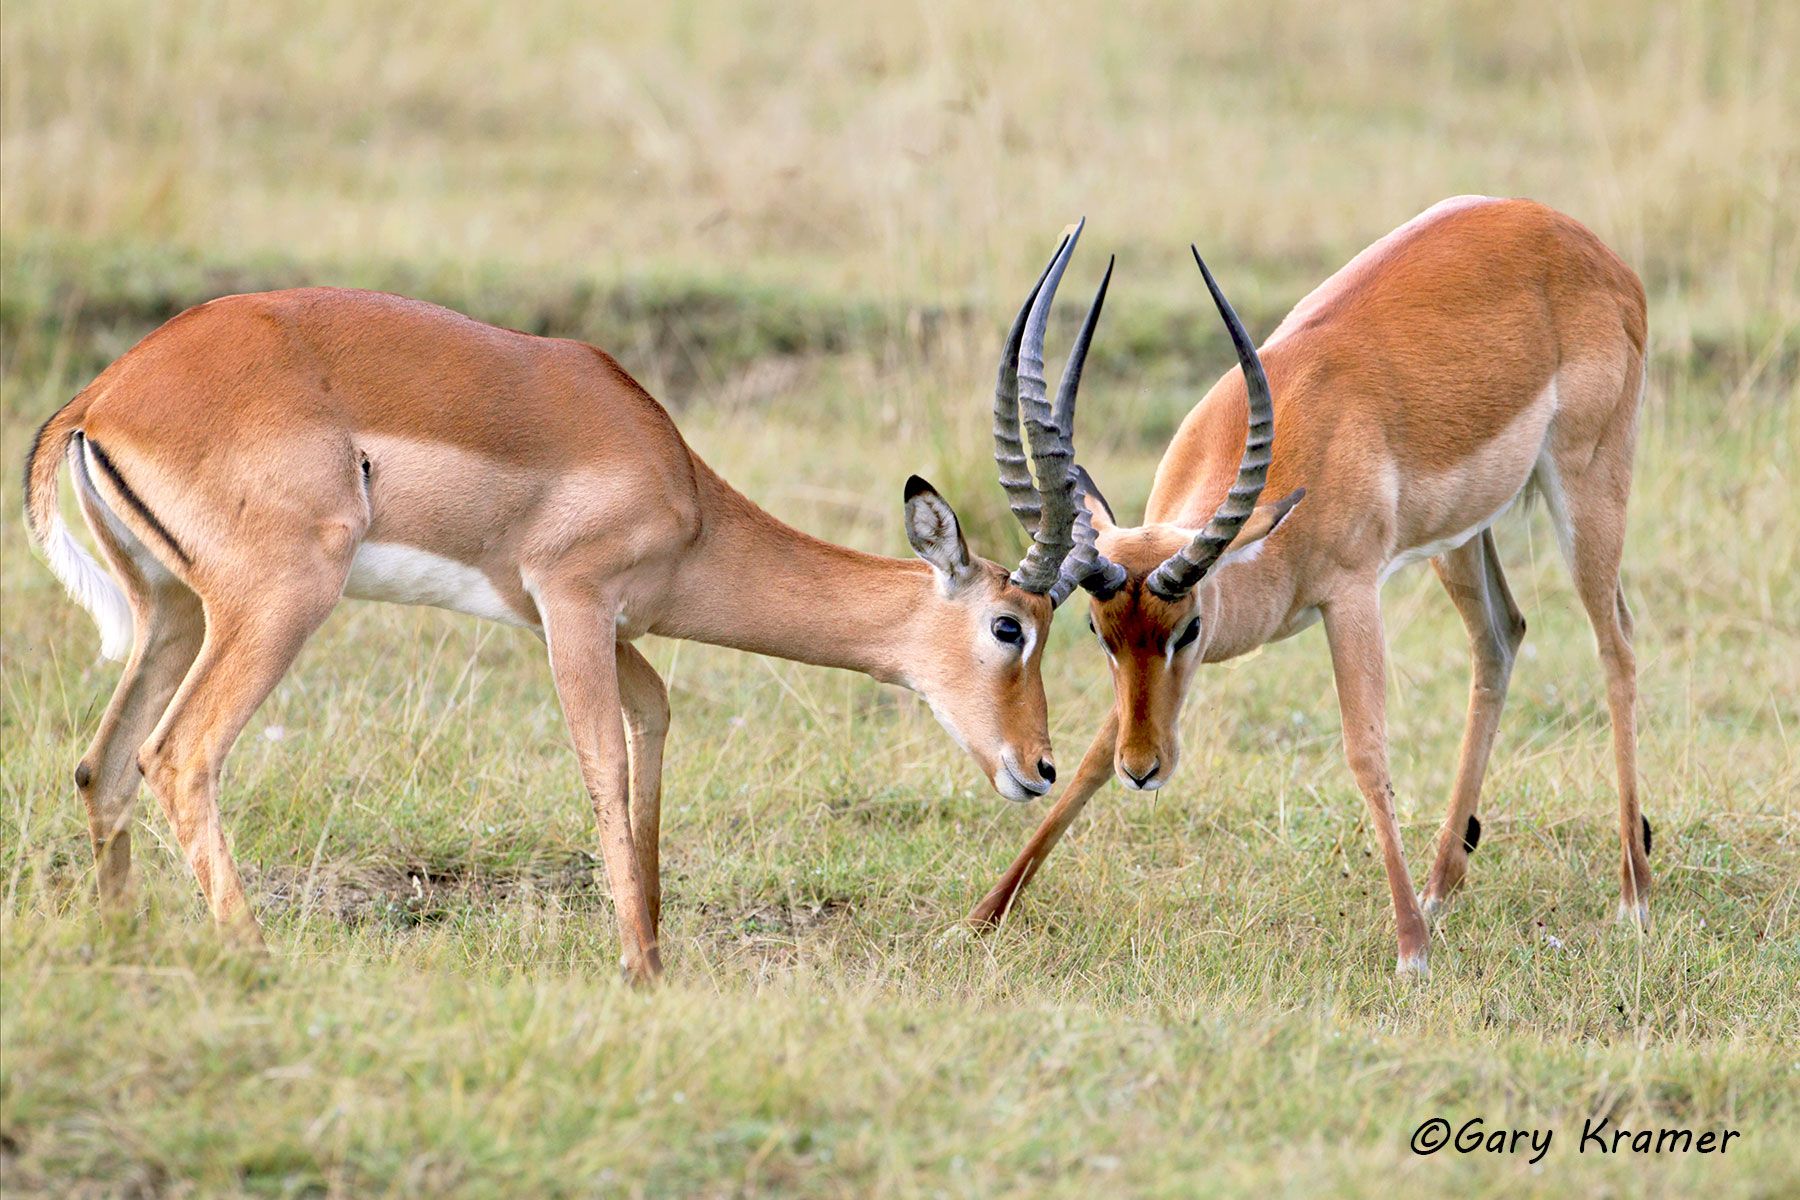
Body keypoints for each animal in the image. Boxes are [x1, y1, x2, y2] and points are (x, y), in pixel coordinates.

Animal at [24, 225, 1110, 982]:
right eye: (1009, 627)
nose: (1038, 768)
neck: (682, 488)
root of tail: (104, 396)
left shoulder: (608, 626)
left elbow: (654, 720)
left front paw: (657, 953)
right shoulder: (573, 604)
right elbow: (601, 765)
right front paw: (637, 970)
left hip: (171, 609)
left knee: (101, 765)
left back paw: (123, 943)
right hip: (280, 601)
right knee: (179, 755)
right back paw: (257, 957)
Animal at [969, 197, 1649, 976]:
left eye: (1190, 629)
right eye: (1096, 632)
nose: (1143, 771)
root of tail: (1587, 245)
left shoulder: (1351, 594)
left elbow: (1366, 749)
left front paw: (1410, 951)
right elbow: (1088, 760)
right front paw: (984, 914)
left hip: (1587, 485)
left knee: (1618, 647)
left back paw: (1632, 897)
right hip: (1462, 536)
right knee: (1502, 639)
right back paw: (1441, 887)